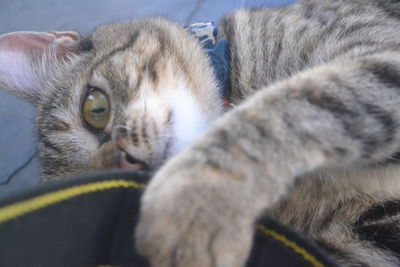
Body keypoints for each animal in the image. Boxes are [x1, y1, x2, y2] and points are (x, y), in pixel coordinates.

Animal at [0, 0, 400, 266]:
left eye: (95, 109)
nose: (129, 163)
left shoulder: (382, 56)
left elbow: (292, 106)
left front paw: (195, 202)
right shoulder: (364, 235)